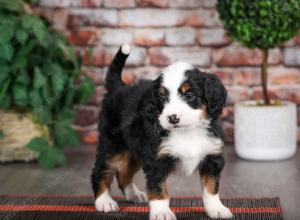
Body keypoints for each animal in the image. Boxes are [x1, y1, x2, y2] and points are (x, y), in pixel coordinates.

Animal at [92, 43, 234, 219]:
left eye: (189, 95)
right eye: (161, 98)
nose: (173, 118)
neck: (188, 132)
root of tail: (119, 87)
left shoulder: (212, 157)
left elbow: (211, 188)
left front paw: (216, 208)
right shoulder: (156, 160)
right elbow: (159, 189)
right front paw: (161, 212)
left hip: (134, 150)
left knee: (124, 173)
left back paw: (133, 194)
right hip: (112, 144)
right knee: (101, 171)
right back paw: (104, 201)